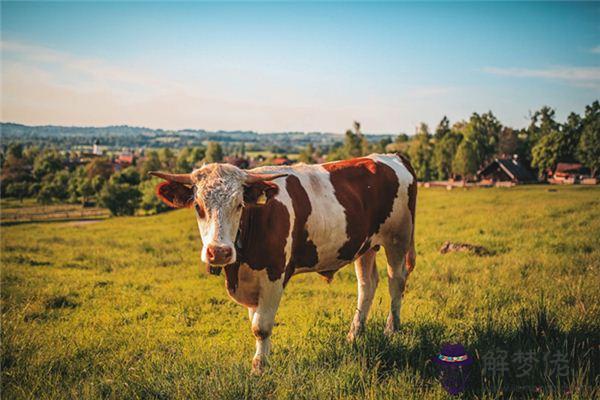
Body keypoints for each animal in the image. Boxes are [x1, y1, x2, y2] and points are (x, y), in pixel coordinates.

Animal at [150, 154, 418, 376]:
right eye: (198, 207)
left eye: (239, 205)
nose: (219, 252)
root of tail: (391, 156)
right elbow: (254, 320)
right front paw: (261, 359)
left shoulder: (274, 275)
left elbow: (261, 327)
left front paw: (259, 368)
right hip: (365, 245)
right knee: (367, 284)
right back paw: (354, 334)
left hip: (398, 238)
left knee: (396, 281)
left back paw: (391, 330)